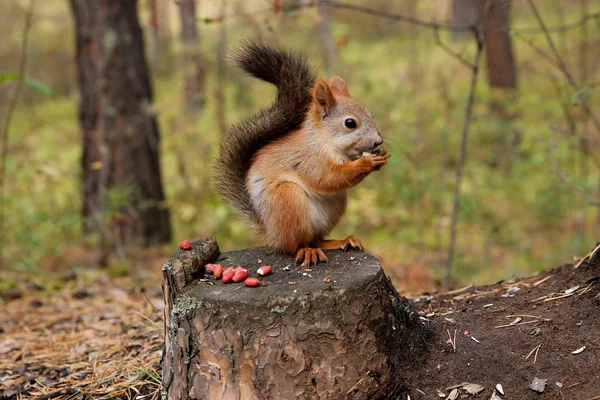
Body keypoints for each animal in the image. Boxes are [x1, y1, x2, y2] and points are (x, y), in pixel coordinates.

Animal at [214, 40, 390, 266]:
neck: (325, 141)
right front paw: (367, 163)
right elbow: (327, 178)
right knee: (294, 244)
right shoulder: (309, 160)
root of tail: (270, 233)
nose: (378, 141)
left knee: (315, 239)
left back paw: (339, 241)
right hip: (287, 200)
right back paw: (306, 251)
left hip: (335, 205)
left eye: (371, 115)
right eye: (350, 123)